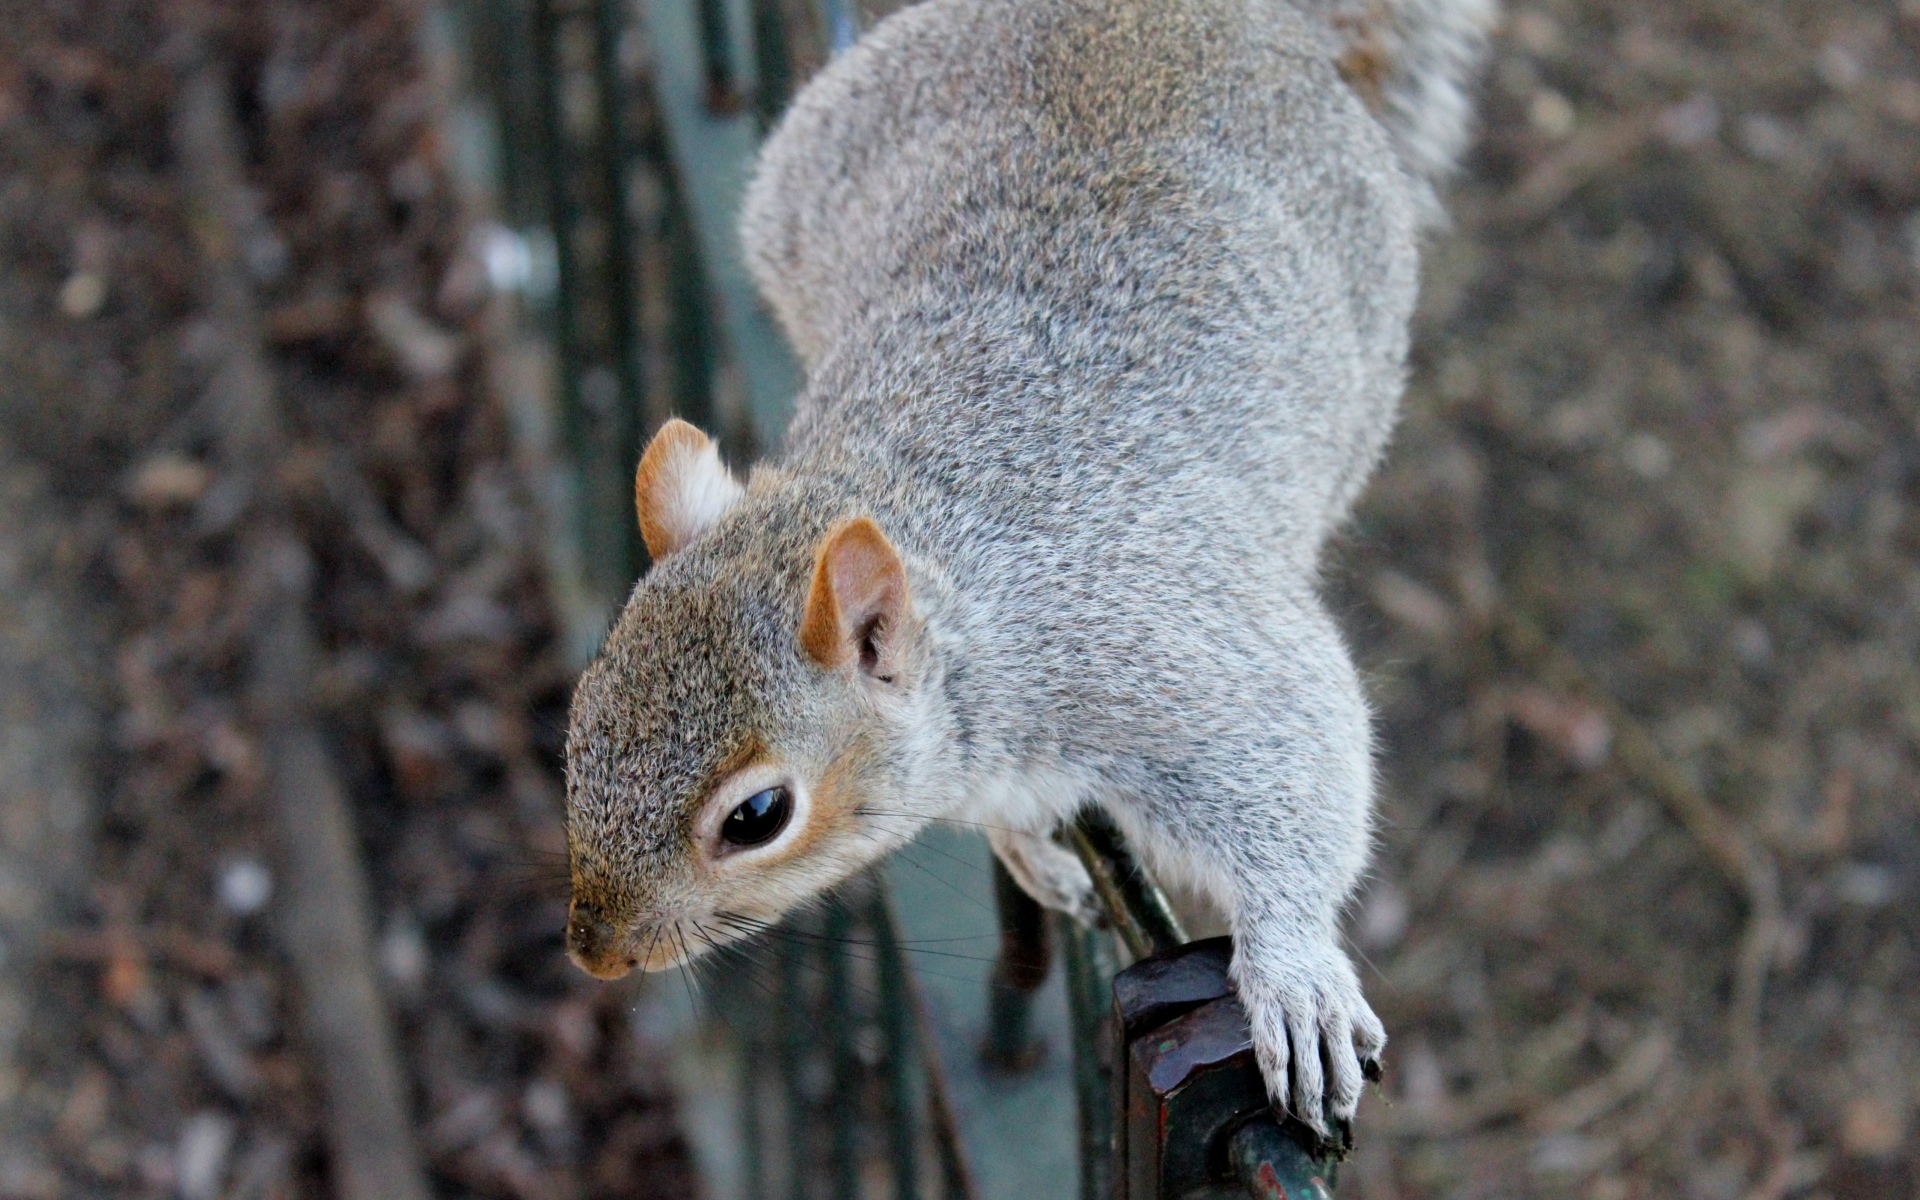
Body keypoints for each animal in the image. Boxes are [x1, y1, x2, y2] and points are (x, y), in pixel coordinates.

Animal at [564, 0, 1491, 1133]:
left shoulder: (1167, 643)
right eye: (581, 715)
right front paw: (1029, 853)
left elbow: (1292, 758)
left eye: (756, 817)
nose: (598, 954)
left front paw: (1295, 968)